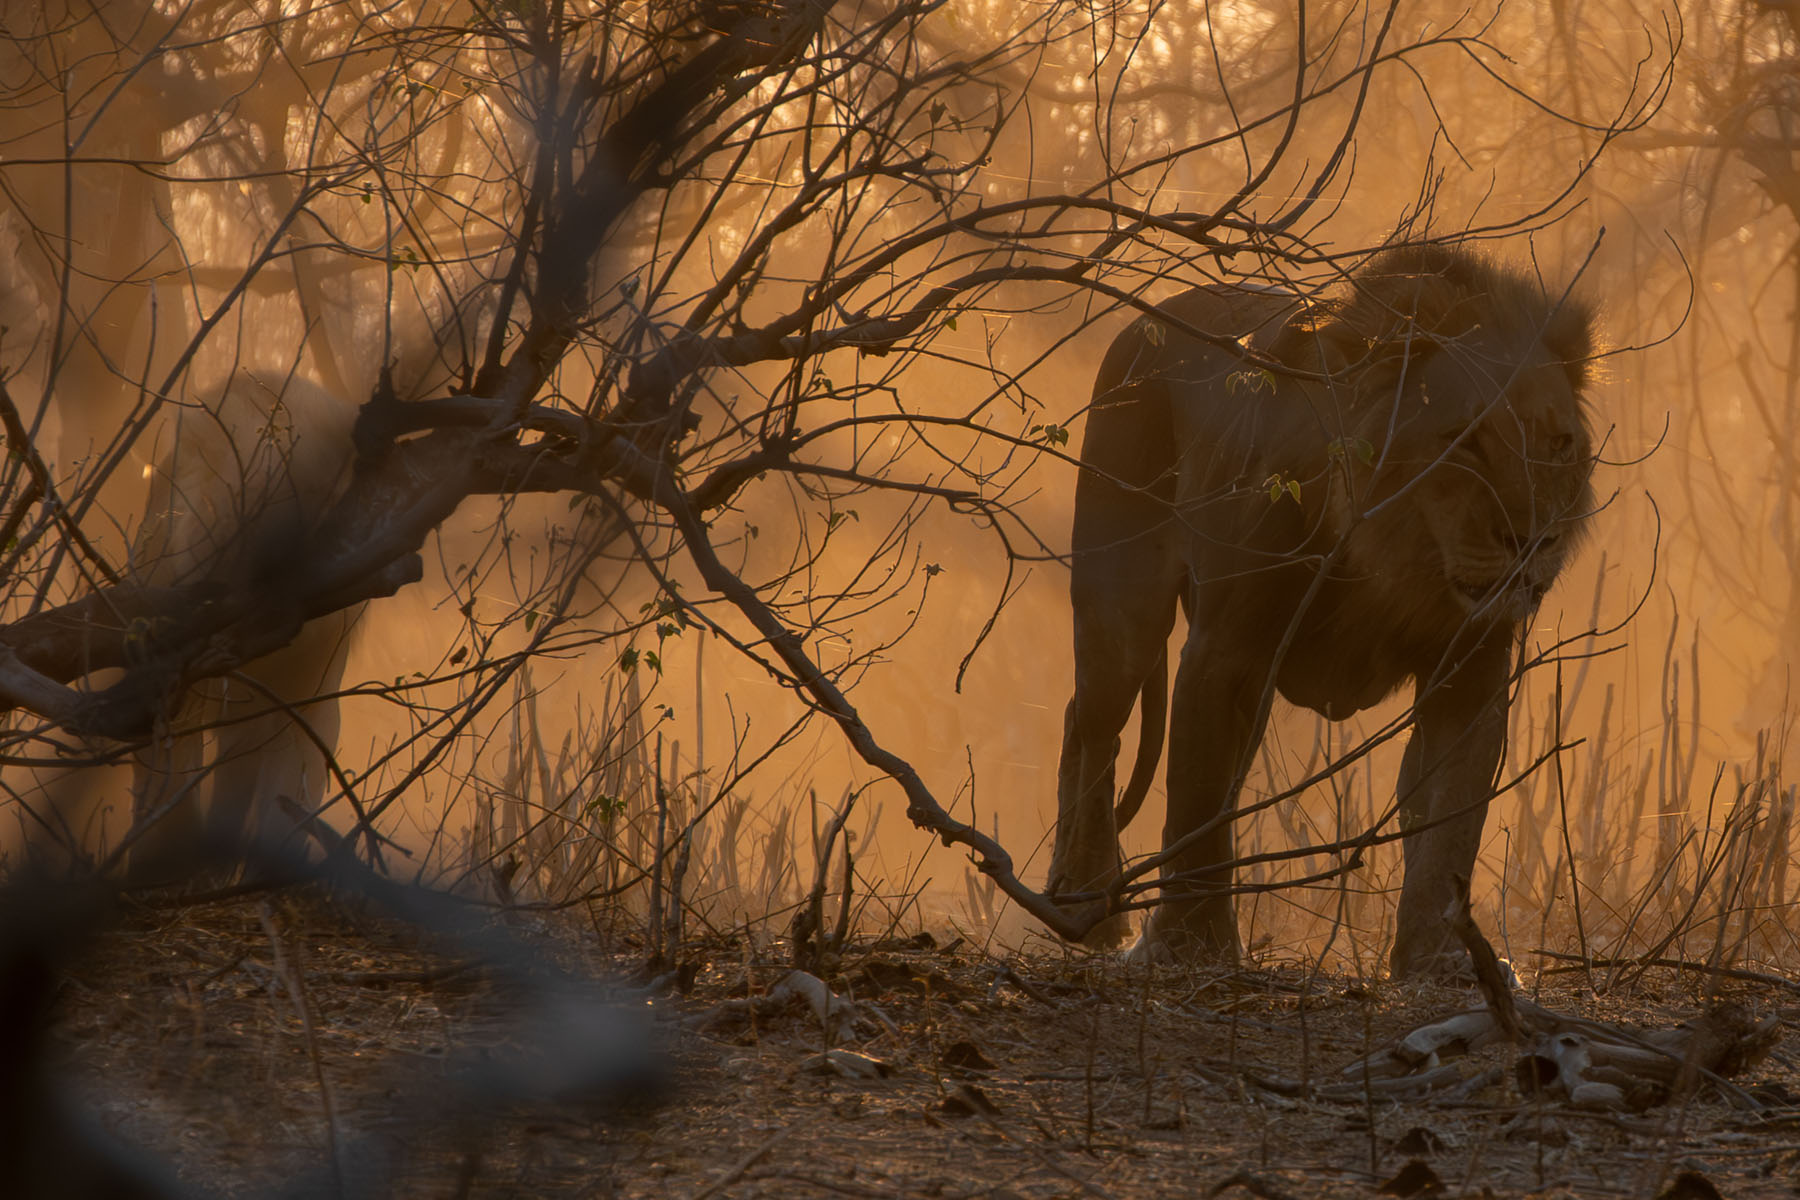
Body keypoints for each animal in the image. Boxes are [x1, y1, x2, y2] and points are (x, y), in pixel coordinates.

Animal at [1046, 244, 1596, 976]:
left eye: (1560, 445)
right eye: (1468, 442)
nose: (1536, 540)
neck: (1392, 556)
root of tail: (1149, 318)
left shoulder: (1471, 673)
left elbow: (1450, 821)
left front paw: (1439, 956)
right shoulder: (1224, 652)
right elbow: (1194, 802)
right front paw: (1189, 946)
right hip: (1122, 606)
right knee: (1092, 725)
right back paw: (1085, 898)